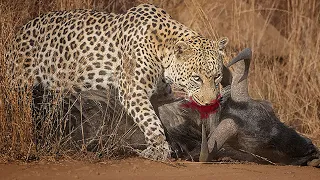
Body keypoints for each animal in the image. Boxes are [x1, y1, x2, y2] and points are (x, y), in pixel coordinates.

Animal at [6, 3, 228, 160]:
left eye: (217, 76)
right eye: (197, 78)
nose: (211, 102)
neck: (162, 50)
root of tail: (17, 35)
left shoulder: (160, 96)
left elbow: (161, 118)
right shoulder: (132, 91)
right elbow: (152, 122)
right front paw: (158, 151)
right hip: (20, 84)